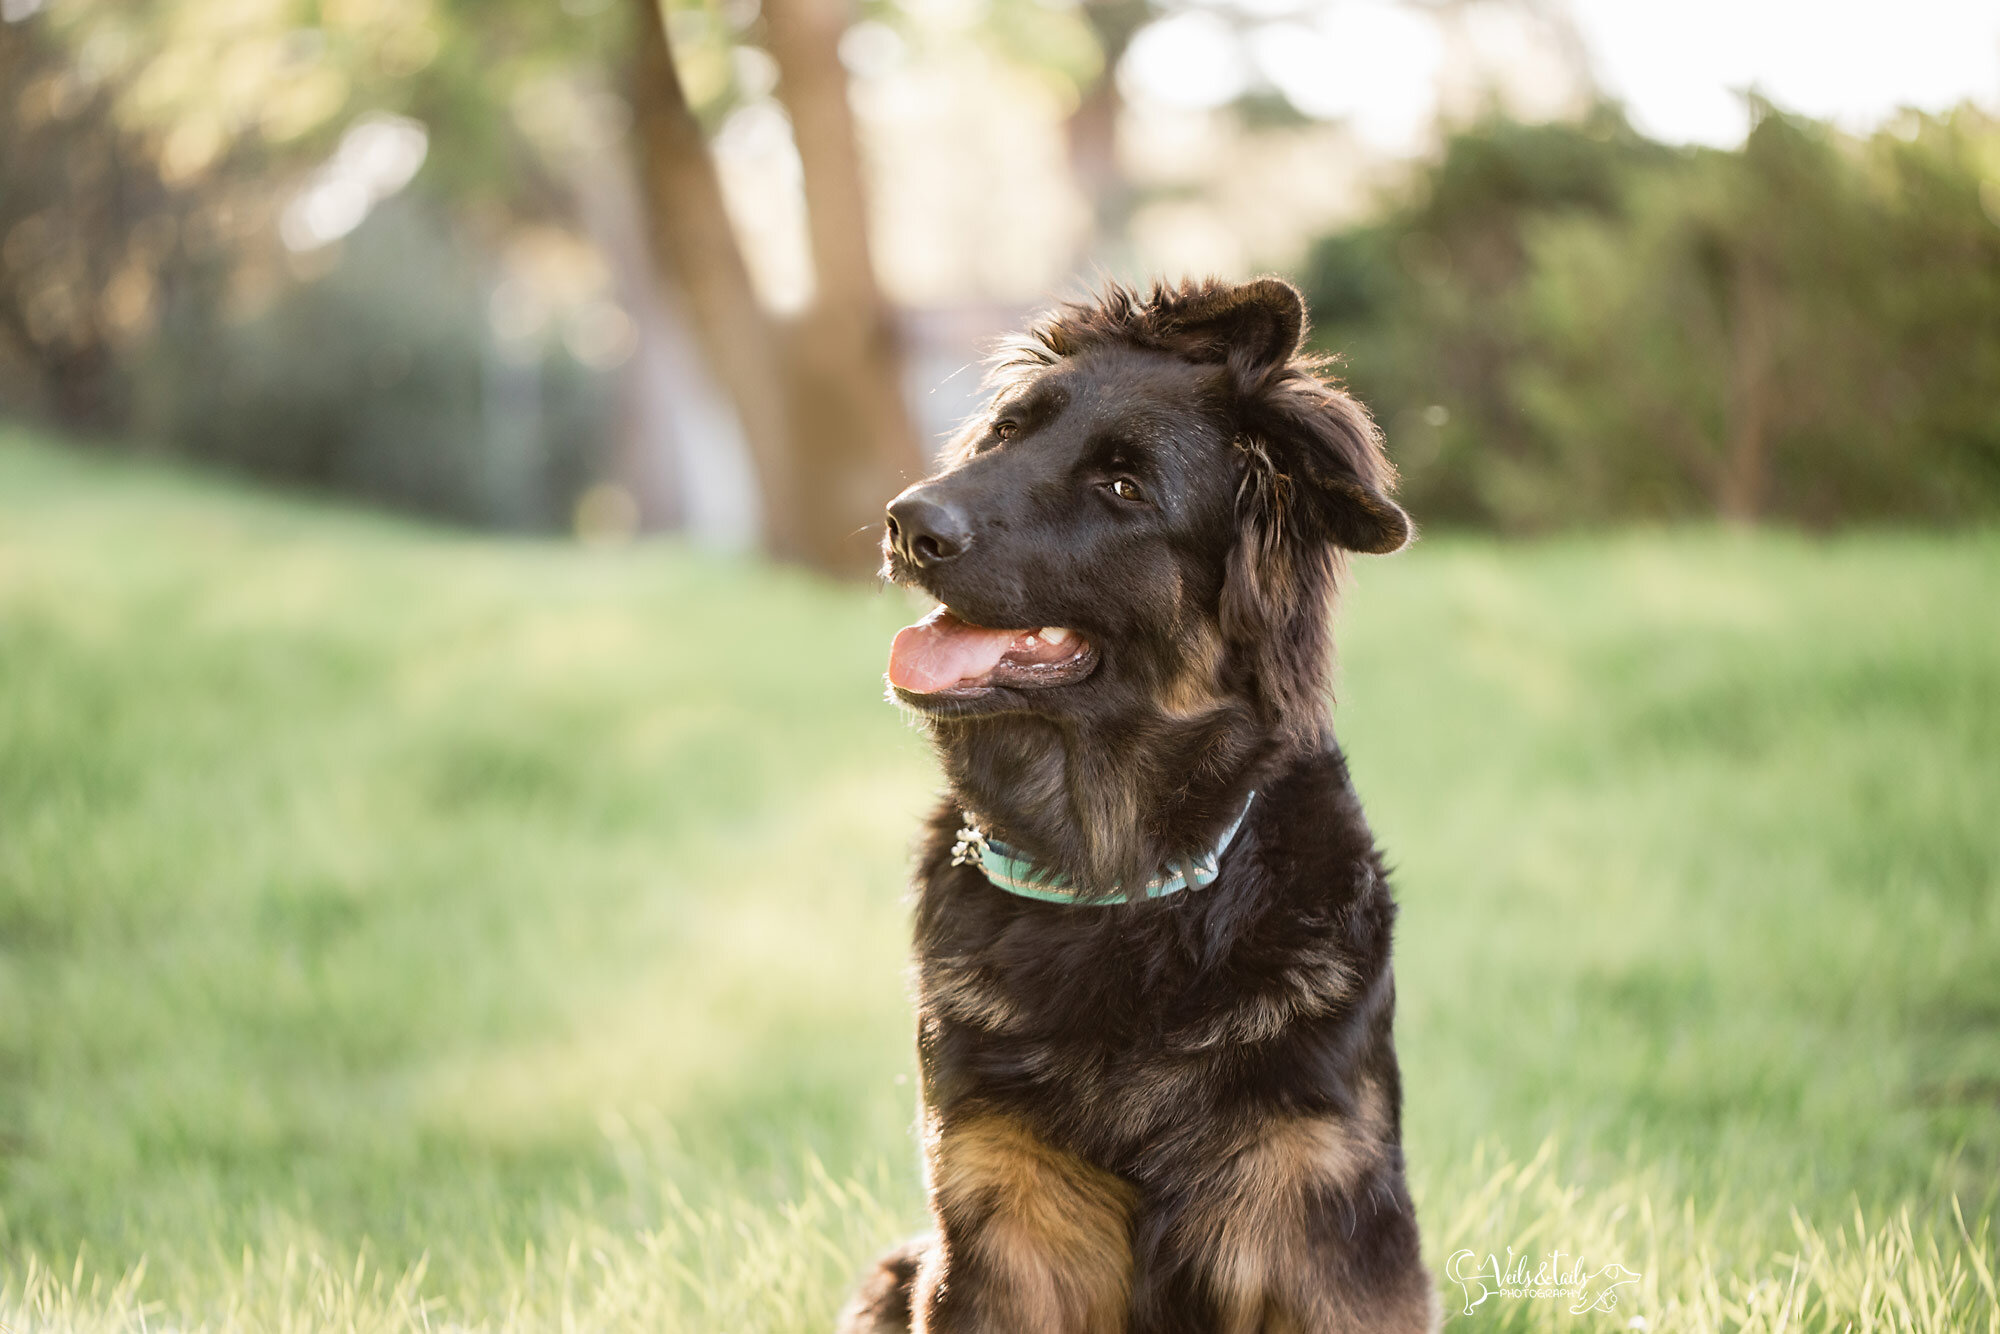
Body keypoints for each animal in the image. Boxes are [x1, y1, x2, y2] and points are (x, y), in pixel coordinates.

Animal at [844, 276, 1440, 1328]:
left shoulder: (1319, 1219)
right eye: (1008, 433)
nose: (907, 522)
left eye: (1122, 488)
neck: (1117, 882)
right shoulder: (1004, 1215)